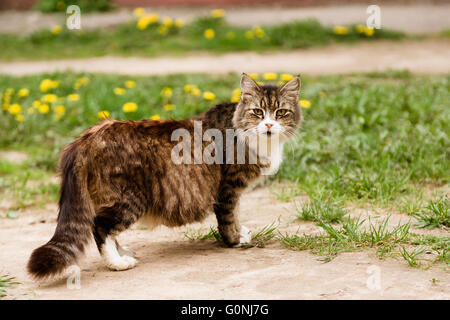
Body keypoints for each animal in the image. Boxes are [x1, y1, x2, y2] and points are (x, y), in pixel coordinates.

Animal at [28, 72, 302, 278]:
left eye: (280, 113)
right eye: (258, 112)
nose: (269, 125)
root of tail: (89, 136)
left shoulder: (232, 192)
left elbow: (235, 216)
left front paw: (240, 233)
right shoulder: (228, 188)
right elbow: (227, 219)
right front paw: (235, 241)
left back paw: (122, 253)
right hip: (129, 199)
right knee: (100, 227)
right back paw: (118, 263)